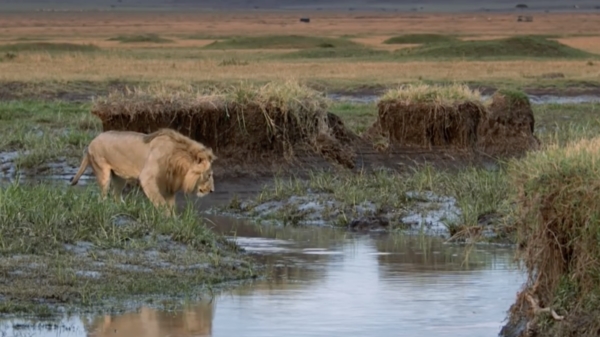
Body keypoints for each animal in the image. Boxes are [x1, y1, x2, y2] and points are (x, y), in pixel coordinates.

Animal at [71, 127, 216, 214]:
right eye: (209, 175)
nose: (212, 191)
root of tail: (92, 141)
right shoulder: (148, 178)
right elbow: (161, 203)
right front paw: (166, 218)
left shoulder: (169, 183)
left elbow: (170, 204)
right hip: (102, 171)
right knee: (102, 197)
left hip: (120, 178)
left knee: (116, 195)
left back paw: (122, 207)